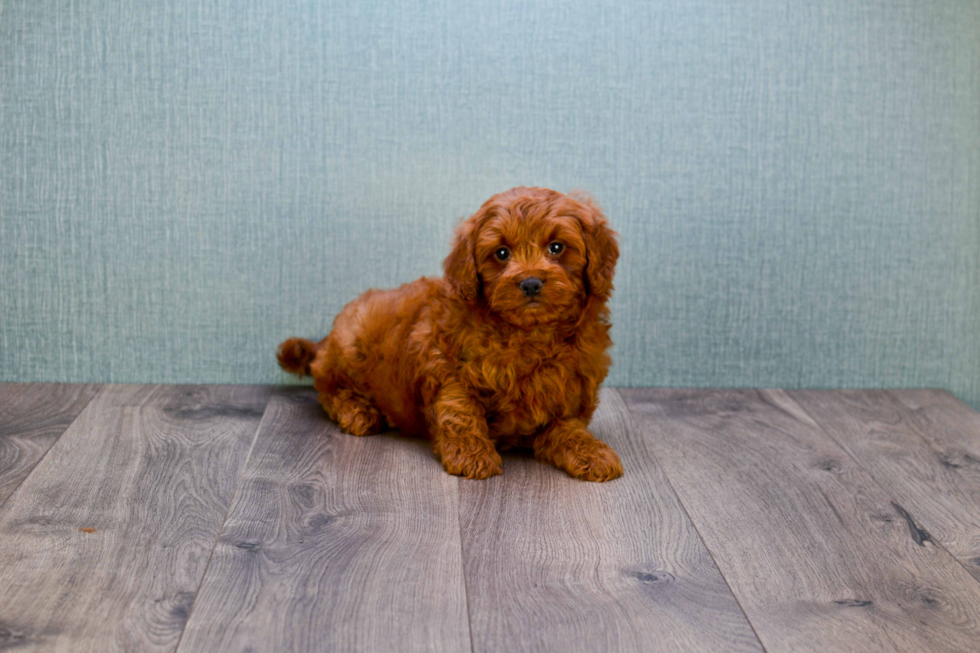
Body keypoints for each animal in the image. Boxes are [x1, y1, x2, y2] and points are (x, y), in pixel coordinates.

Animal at [280, 186, 624, 482]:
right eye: (501, 253)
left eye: (556, 247)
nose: (529, 283)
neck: (528, 333)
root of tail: (326, 340)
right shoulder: (446, 367)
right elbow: (459, 410)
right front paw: (472, 455)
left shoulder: (567, 396)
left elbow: (567, 428)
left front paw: (593, 452)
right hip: (352, 345)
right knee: (329, 386)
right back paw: (357, 411)